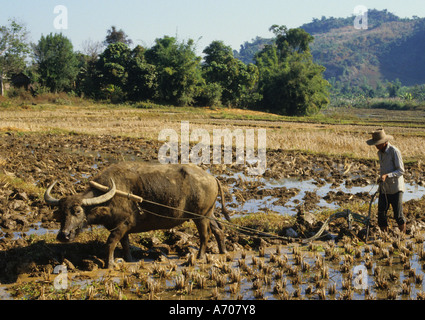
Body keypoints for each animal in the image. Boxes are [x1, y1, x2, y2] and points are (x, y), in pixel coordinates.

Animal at [44, 161, 230, 268]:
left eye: (77, 211)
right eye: (61, 213)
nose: (63, 235)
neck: (108, 198)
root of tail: (212, 178)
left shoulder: (122, 225)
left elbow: (110, 243)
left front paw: (109, 264)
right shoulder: (121, 227)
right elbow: (125, 244)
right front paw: (129, 259)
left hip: (201, 217)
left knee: (205, 235)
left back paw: (199, 256)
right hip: (210, 213)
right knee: (218, 230)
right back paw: (222, 251)